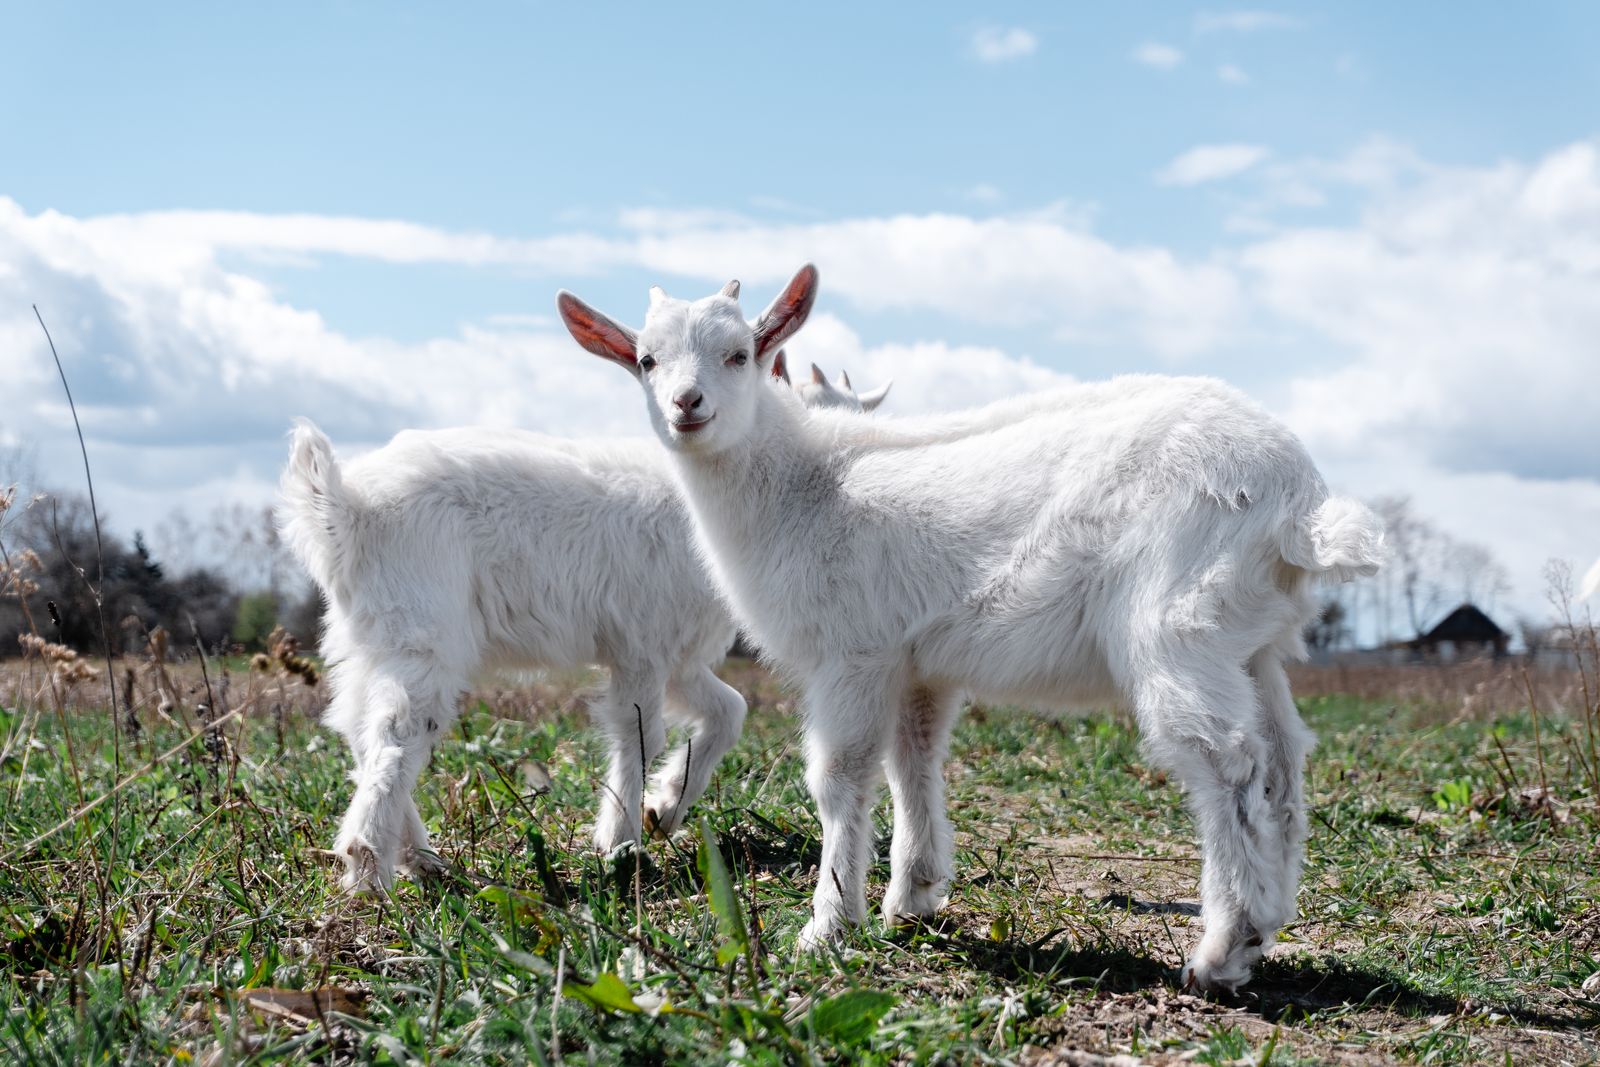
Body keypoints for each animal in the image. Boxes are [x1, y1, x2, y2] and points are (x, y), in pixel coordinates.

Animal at [279, 349, 887, 894]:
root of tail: (346, 505)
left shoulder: (679, 656)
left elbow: (729, 711)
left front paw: (663, 809)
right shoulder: (643, 646)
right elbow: (640, 733)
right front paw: (621, 846)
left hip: (366, 638)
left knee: (357, 727)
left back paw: (418, 858)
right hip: (421, 634)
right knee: (396, 735)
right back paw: (369, 872)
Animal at [556, 265, 1384, 993]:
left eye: (740, 353)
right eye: (645, 359)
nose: (687, 404)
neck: (806, 485)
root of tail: (1299, 501)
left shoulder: (853, 652)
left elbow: (840, 775)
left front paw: (829, 924)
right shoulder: (918, 661)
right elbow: (913, 761)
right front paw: (913, 898)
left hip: (1177, 625)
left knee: (1228, 763)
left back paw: (1223, 951)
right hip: (1251, 640)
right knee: (1282, 761)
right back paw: (1267, 922)